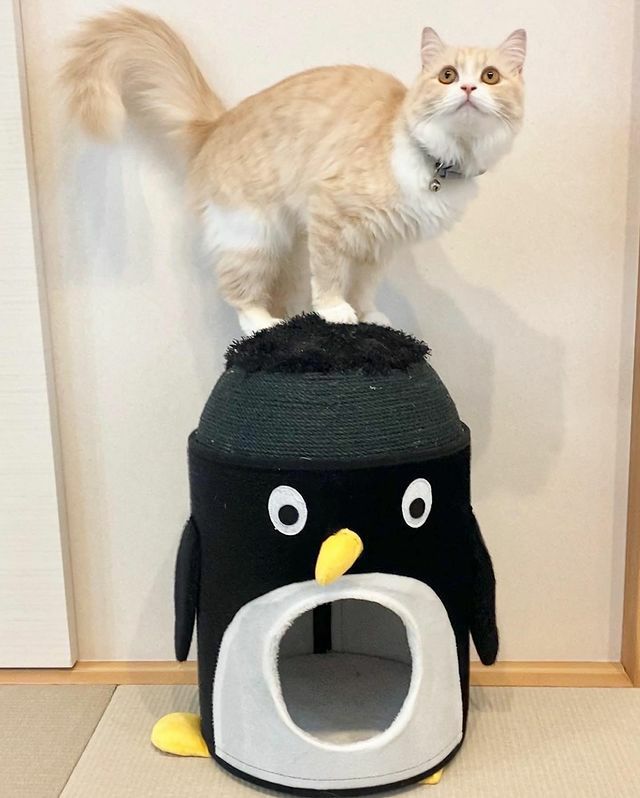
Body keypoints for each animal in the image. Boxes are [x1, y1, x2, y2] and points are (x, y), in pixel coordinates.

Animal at [63, 8, 526, 334]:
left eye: (490, 76)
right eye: (447, 75)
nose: (468, 88)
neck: (441, 161)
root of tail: (218, 122)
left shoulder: (380, 245)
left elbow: (365, 287)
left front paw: (370, 316)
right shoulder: (329, 212)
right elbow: (330, 275)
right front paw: (336, 312)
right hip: (254, 233)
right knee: (236, 289)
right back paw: (263, 324)